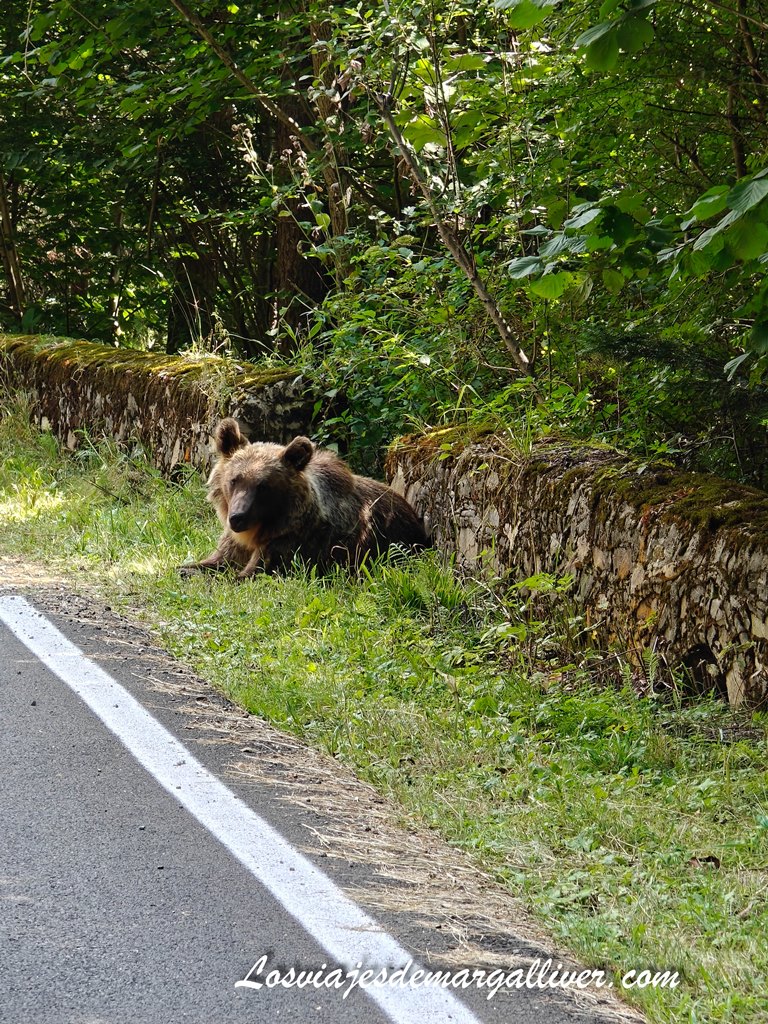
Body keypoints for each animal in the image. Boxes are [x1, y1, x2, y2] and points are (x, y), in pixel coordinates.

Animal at [179, 418, 428, 578]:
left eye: (263, 486)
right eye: (234, 480)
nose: (237, 517)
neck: (259, 530)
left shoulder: (293, 541)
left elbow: (252, 572)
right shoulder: (234, 541)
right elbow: (216, 561)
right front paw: (187, 568)